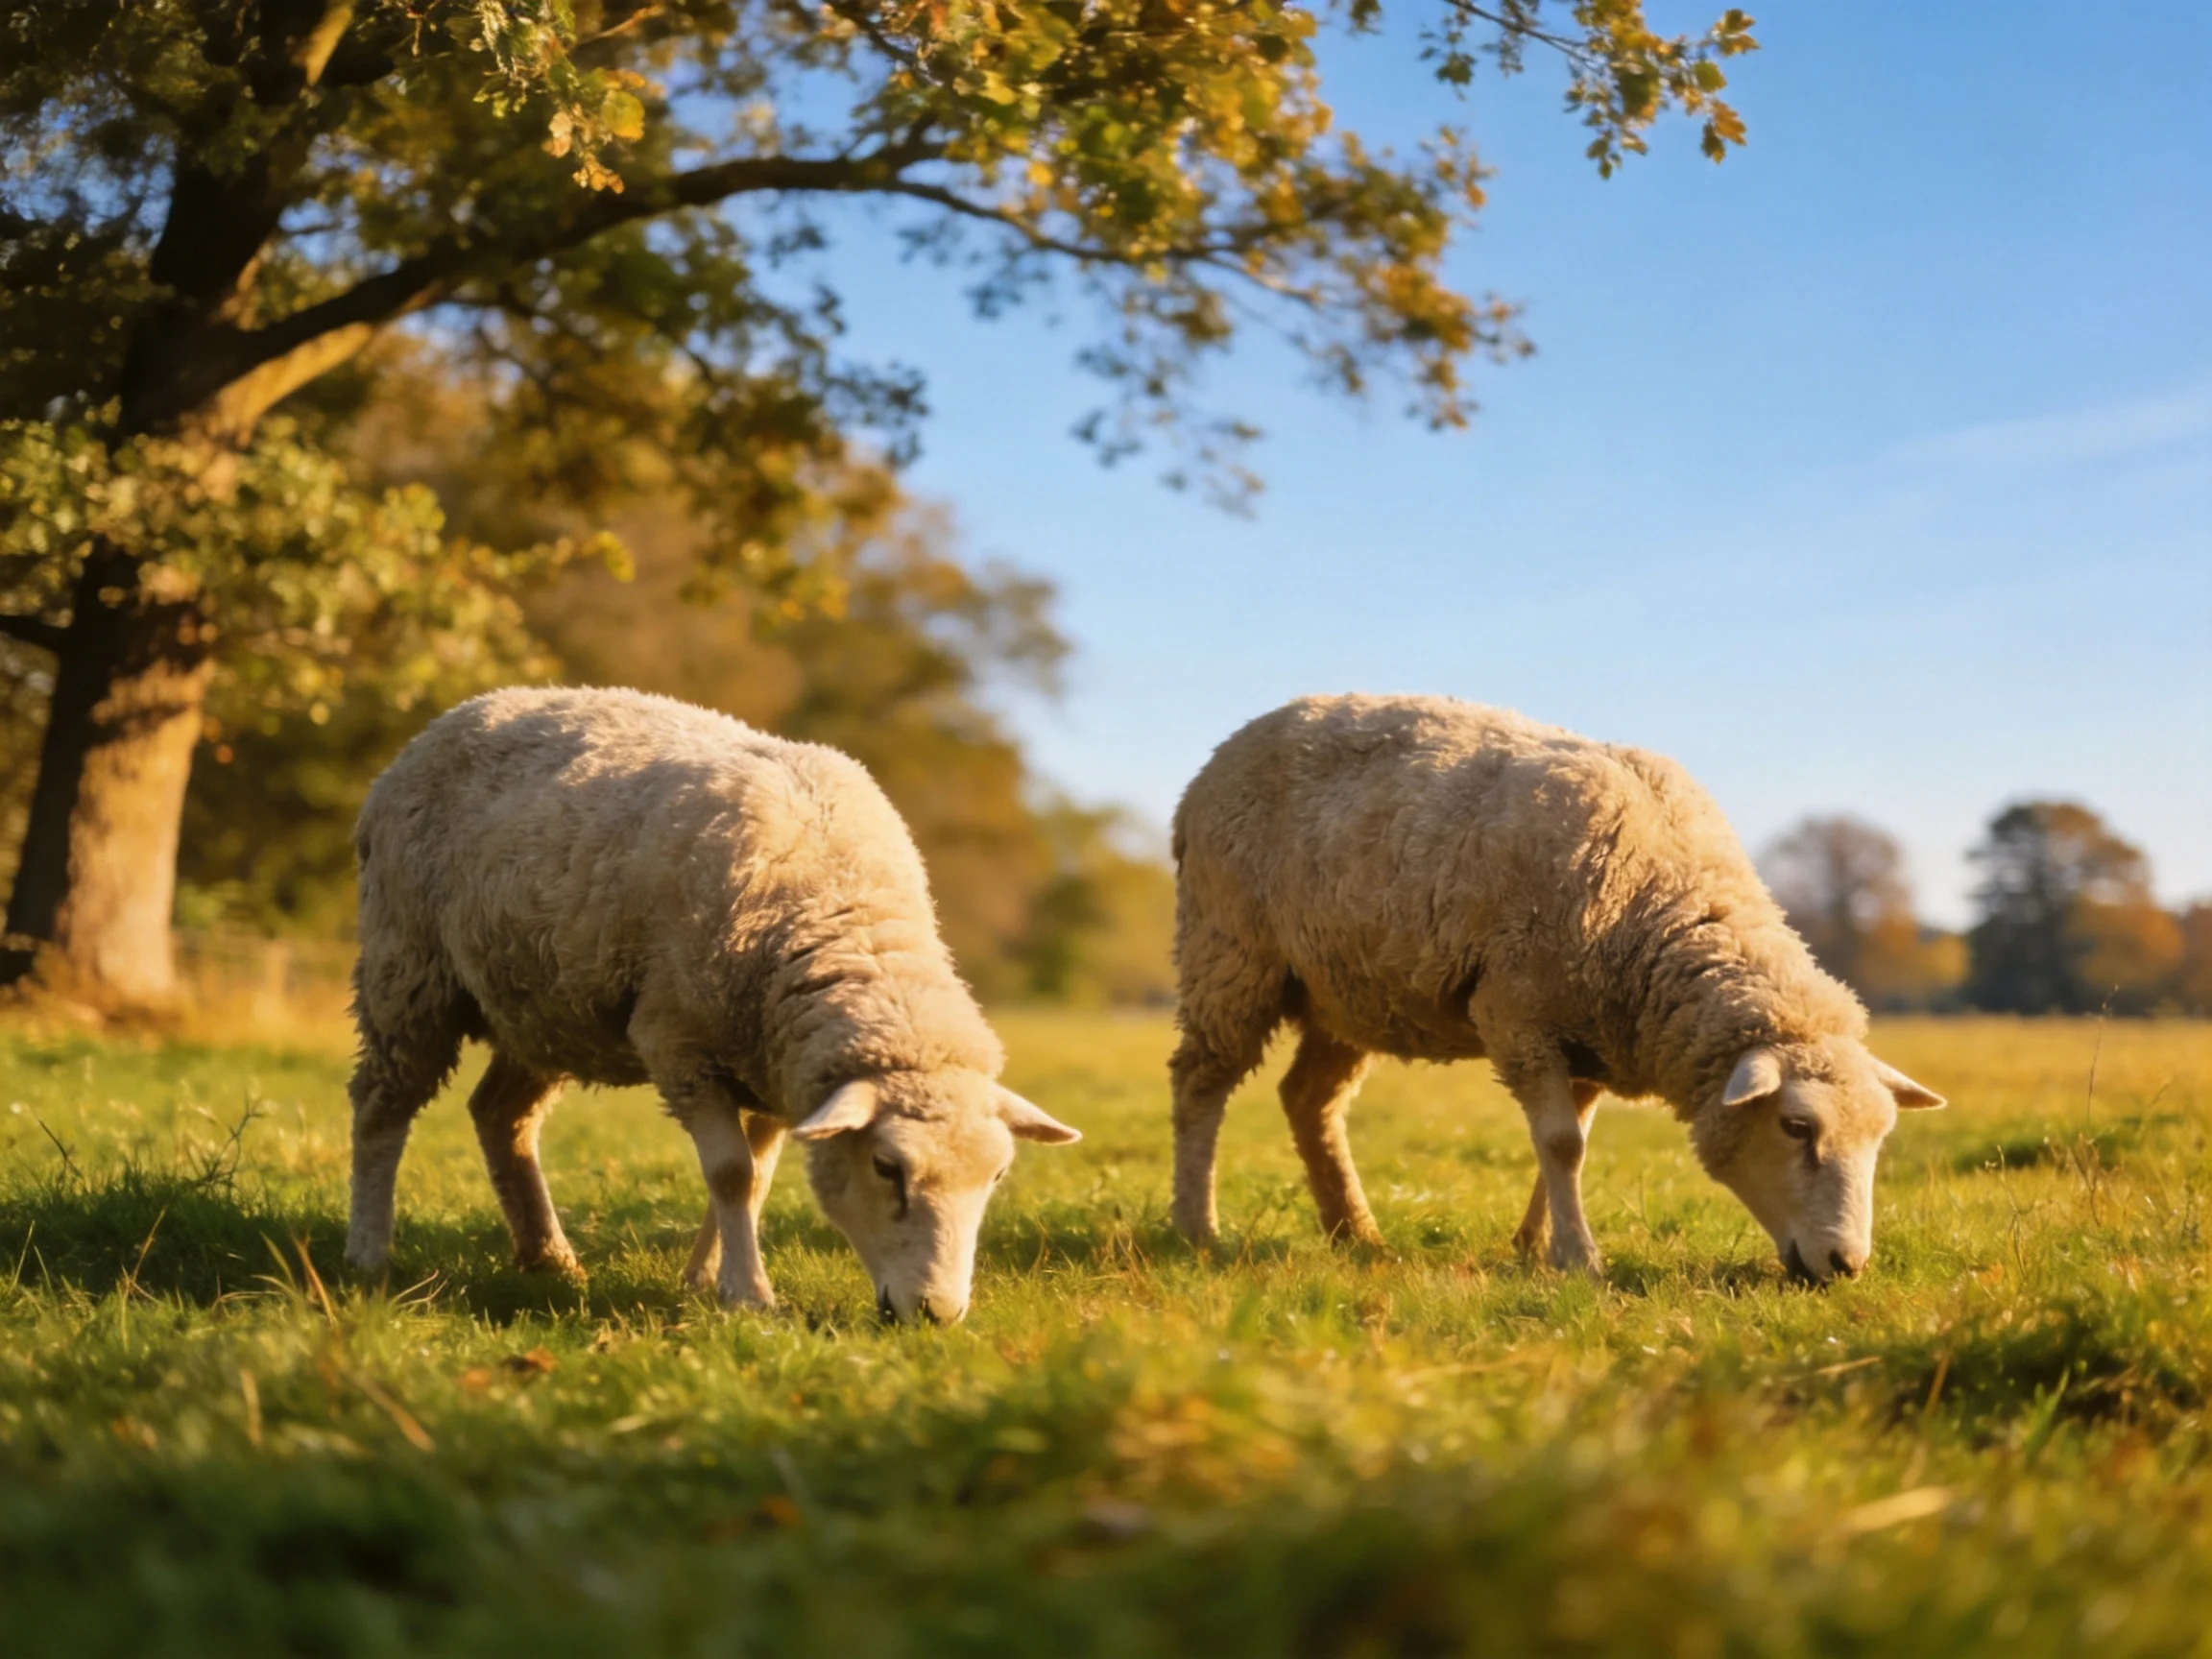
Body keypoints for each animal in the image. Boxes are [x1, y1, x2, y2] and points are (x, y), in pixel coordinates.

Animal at [342, 686, 1080, 1322]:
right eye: (886, 1168)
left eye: (998, 1174)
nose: (938, 1315)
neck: (842, 911)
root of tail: (460, 712)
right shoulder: (680, 1042)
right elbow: (729, 1173)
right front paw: (748, 1294)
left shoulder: (775, 1066)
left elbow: (757, 1179)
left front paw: (705, 1279)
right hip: (408, 968)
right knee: (381, 1106)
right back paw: (369, 1253)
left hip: (541, 1007)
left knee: (501, 1115)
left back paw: (548, 1259)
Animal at [1168, 693, 1943, 1284]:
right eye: (1796, 1127)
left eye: (1881, 1137)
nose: (1846, 1266)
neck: (1660, 908)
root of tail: (1225, 752)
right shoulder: (1519, 1015)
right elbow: (1563, 1142)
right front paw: (1578, 1258)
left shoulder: (1595, 1035)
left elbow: (1573, 1141)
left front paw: (1535, 1245)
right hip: (1230, 952)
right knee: (1200, 1084)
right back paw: (1195, 1226)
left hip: (1348, 990)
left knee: (1309, 1100)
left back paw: (1354, 1232)